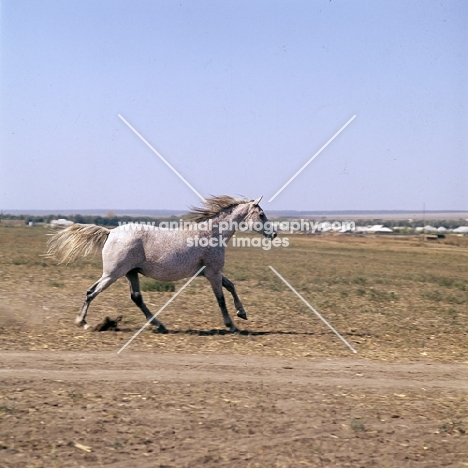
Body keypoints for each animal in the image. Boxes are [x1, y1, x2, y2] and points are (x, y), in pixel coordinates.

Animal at [45, 194, 276, 332]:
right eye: (261, 214)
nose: (273, 233)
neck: (211, 233)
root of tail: (110, 232)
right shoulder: (212, 273)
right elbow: (221, 298)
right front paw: (232, 325)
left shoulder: (211, 272)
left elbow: (231, 286)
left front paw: (242, 313)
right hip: (112, 274)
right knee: (92, 292)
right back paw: (82, 322)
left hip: (131, 273)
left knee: (136, 298)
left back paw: (159, 324)